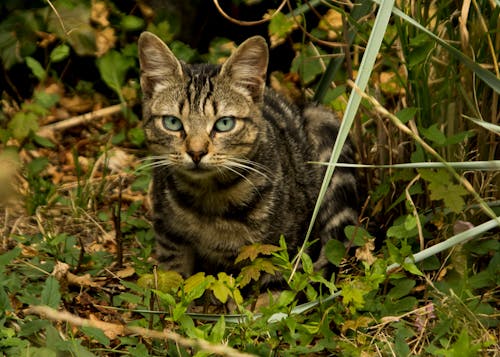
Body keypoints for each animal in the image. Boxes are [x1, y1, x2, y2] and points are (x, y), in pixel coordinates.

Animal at [137, 32, 358, 282]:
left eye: (224, 123)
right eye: (172, 122)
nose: (196, 152)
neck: (209, 200)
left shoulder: (282, 247)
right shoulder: (169, 236)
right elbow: (173, 280)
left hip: (323, 124)